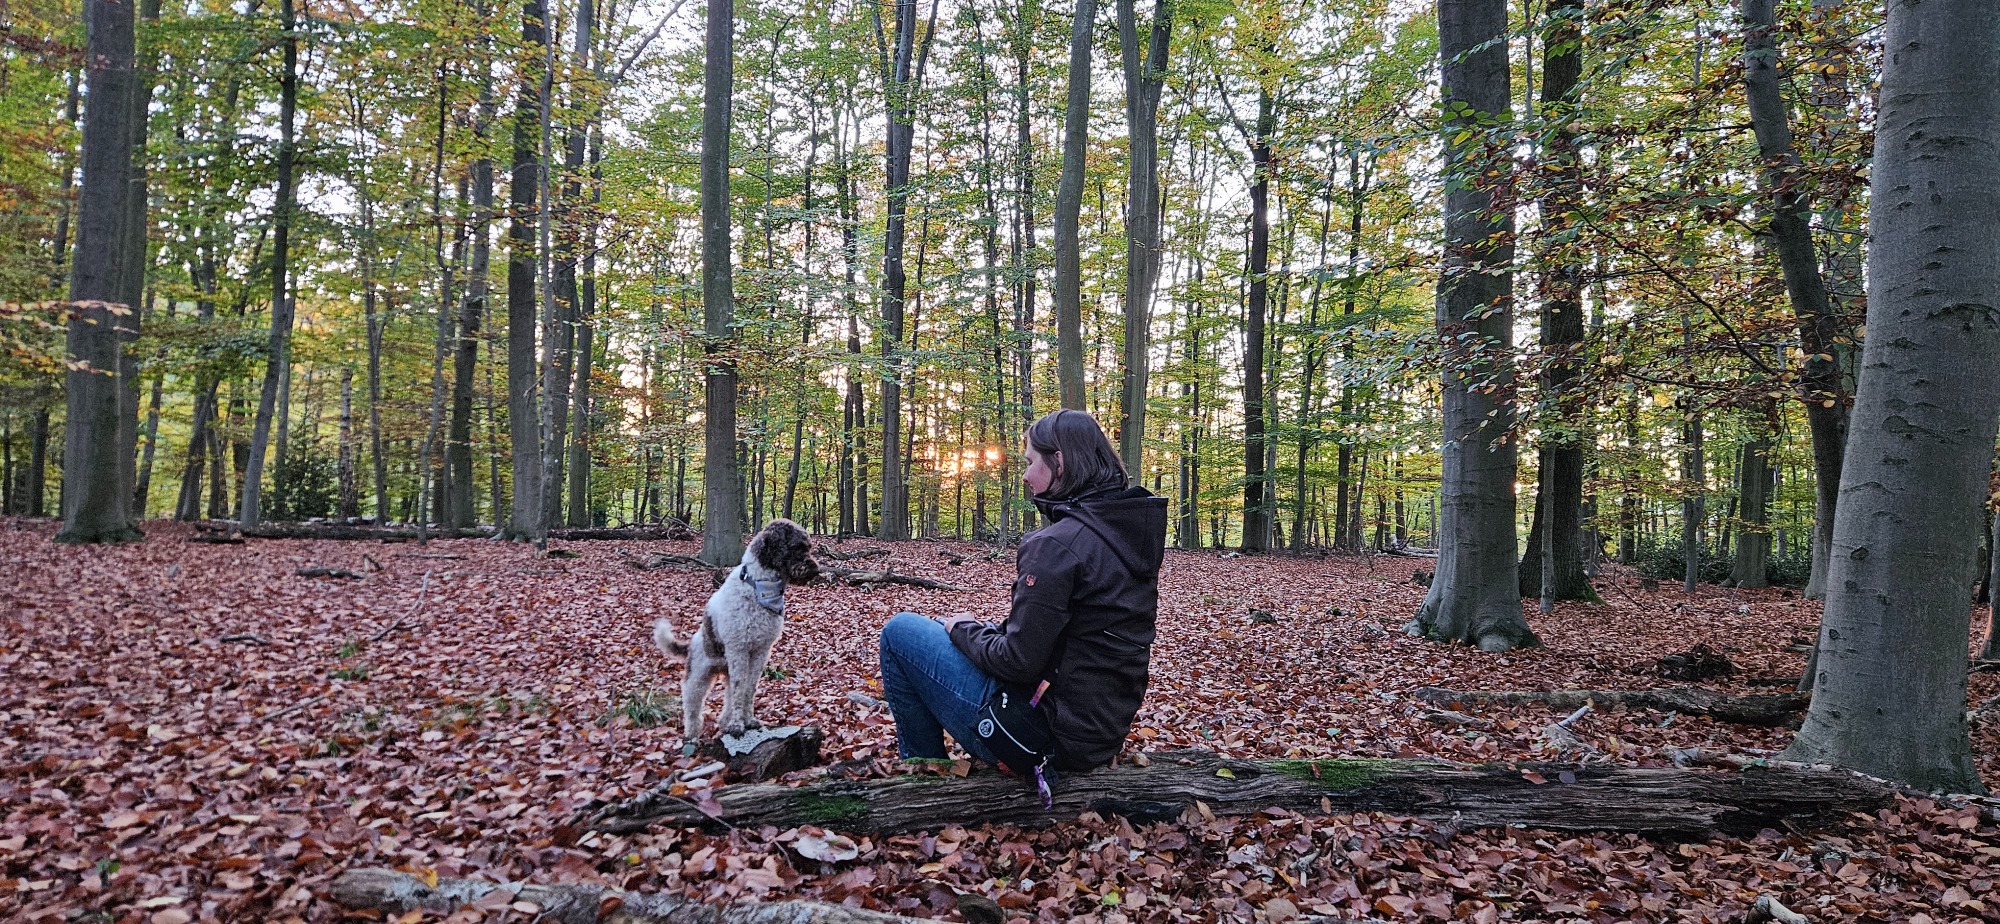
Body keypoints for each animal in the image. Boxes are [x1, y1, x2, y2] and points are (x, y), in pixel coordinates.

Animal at [654, 519, 819, 741]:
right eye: (796, 547)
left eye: (808, 547)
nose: (815, 570)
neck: (758, 588)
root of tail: (692, 642)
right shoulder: (738, 650)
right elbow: (740, 689)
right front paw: (737, 726)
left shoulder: (760, 651)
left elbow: (749, 688)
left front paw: (748, 721)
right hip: (698, 675)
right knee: (692, 702)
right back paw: (693, 733)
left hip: (727, 669)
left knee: (728, 697)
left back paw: (724, 722)